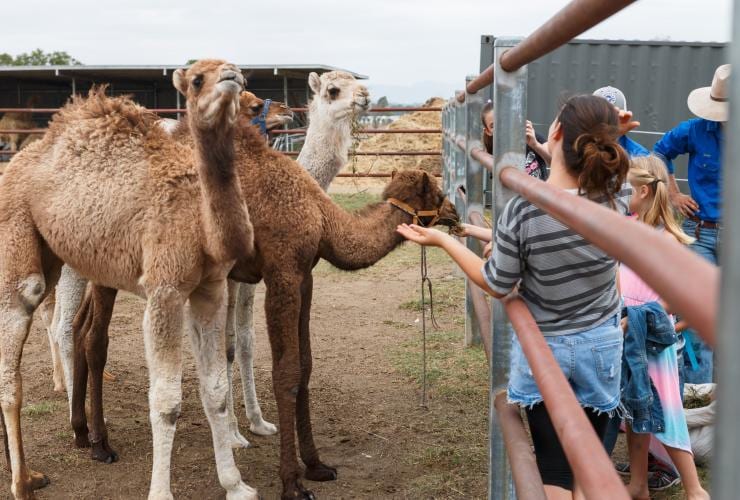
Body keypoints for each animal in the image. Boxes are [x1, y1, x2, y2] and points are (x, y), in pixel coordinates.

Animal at [0, 59, 259, 500]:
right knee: (15, 357)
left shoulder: (210, 289)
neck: (200, 222)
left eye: (240, 77)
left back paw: (28, 473)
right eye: (196, 80)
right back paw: (23, 484)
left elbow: (216, 392)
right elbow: (167, 401)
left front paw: (236, 484)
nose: (230, 75)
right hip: (18, 242)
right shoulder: (164, 290)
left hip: (53, 255)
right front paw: (161, 492)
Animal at [68, 97, 458, 499]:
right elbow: (285, 371)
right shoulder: (282, 270)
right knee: (94, 338)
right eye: (439, 194)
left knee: (78, 327)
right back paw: (101, 443)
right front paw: (292, 482)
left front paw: (317, 465)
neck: (321, 216)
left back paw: (81, 433)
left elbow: (306, 364)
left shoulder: (305, 274)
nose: (455, 212)